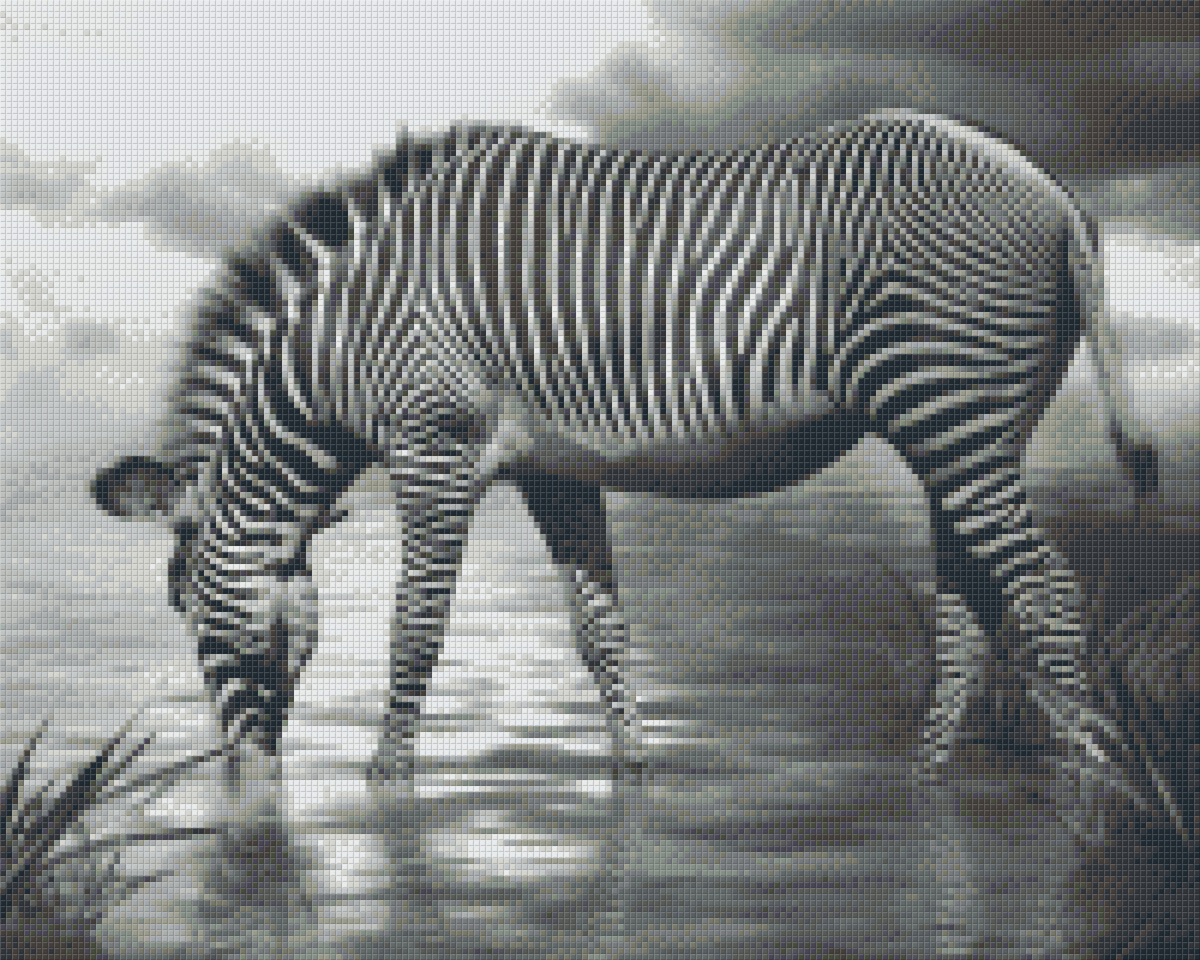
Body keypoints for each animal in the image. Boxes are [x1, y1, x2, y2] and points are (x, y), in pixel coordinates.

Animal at [91, 111, 1163, 846]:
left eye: (186, 607)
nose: (247, 794)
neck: (347, 344)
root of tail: (1046, 186)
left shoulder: (435, 447)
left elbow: (417, 624)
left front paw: (387, 782)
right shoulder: (555, 468)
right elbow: (599, 630)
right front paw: (632, 771)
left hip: (948, 409)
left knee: (1045, 591)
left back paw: (1085, 789)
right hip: (958, 429)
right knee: (969, 607)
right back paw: (926, 785)